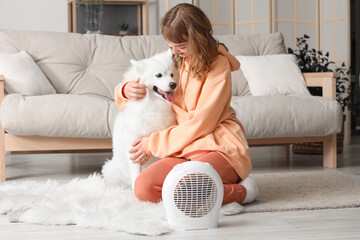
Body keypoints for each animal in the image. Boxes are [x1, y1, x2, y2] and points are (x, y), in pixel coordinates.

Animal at [101, 49, 177, 189]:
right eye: (158, 75)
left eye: (172, 75)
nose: (173, 84)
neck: (153, 104)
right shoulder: (132, 146)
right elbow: (136, 173)